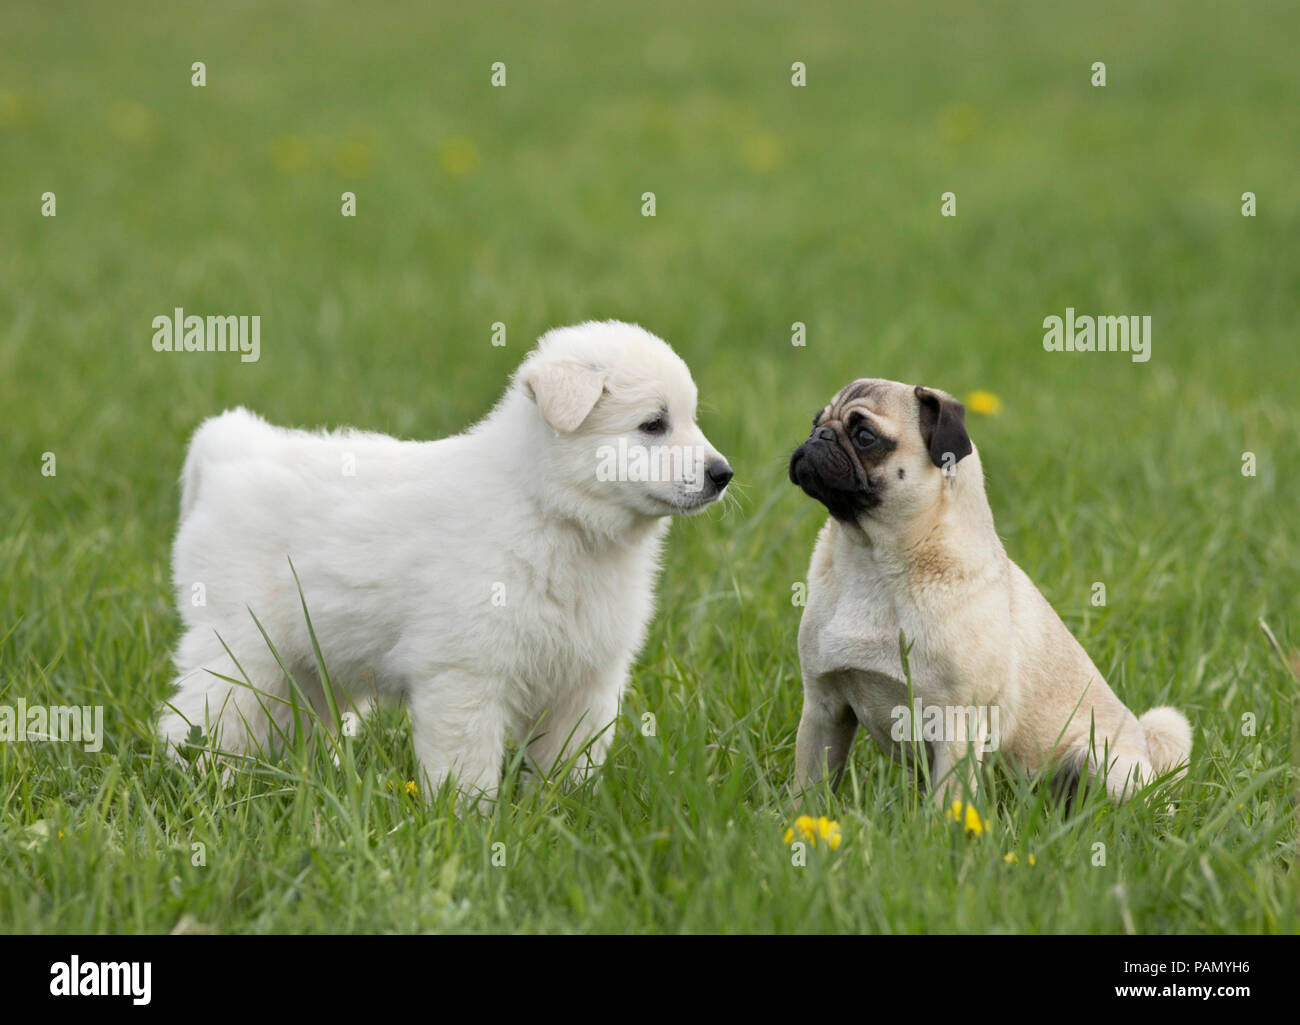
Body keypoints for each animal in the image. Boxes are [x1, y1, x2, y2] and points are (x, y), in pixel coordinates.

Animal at [159, 319, 733, 801]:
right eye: (653, 424)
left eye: (690, 419)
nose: (723, 474)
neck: (555, 514)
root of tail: (233, 449)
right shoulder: (465, 674)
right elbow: (467, 766)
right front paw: (468, 824)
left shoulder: (588, 680)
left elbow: (569, 761)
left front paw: (560, 814)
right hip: (240, 645)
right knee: (197, 718)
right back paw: (198, 784)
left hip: (315, 661)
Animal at [785, 379, 1190, 806]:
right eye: (815, 422)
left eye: (865, 437)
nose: (819, 436)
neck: (871, 560)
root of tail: (1143, 742)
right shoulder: (824, 708)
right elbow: (809, 785)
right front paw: (797, 818)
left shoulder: (956, 725)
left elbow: (948, 803)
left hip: (1105, 764)